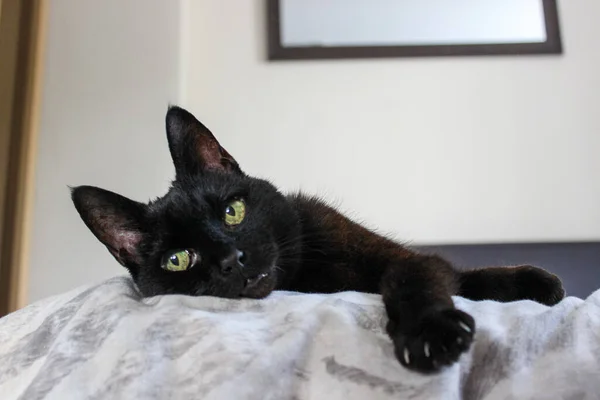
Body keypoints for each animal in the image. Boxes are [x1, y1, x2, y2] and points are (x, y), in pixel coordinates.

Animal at [72, 105, 564, 372]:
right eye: (178, 259)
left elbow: (424, 276)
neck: (304, 275)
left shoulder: (391, 257)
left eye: (233, 212)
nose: (232, 258)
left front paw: (431, 331)